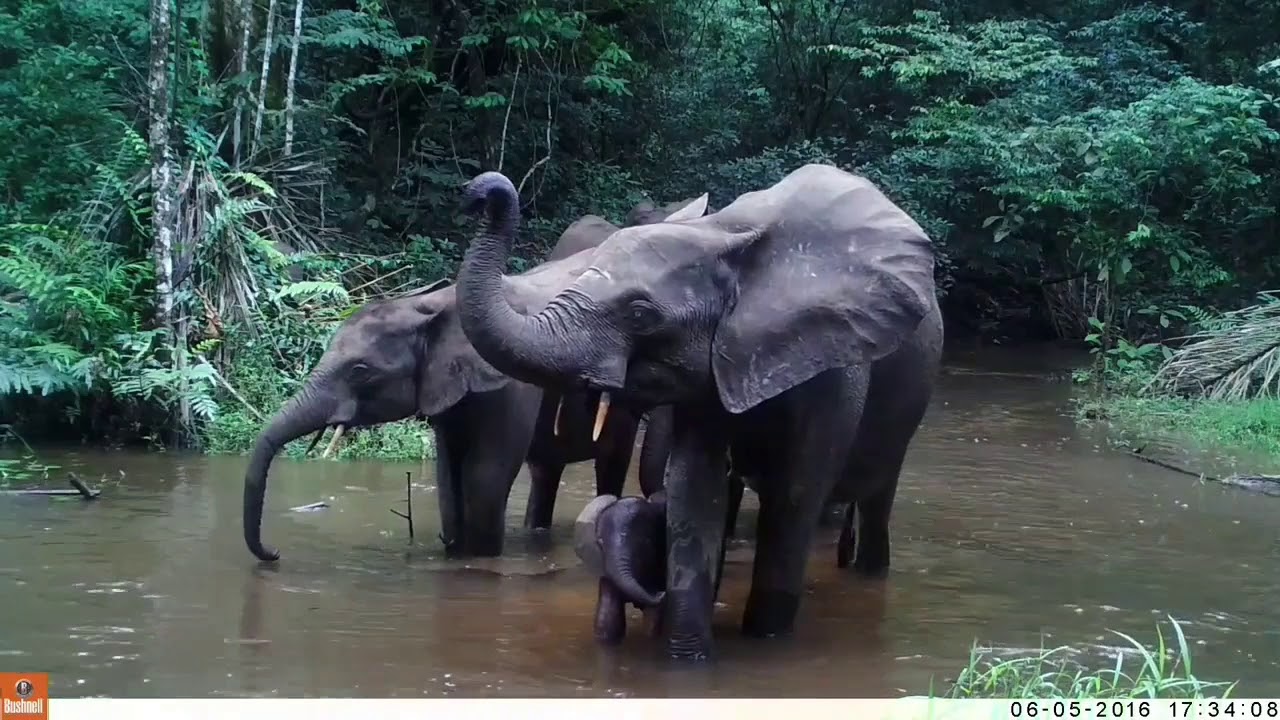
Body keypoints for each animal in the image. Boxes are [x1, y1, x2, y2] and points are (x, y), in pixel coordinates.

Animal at [240, 194, 710, 563]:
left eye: (360, 370)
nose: (275, 553)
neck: (431, 303)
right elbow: (449, 478)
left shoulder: (510, 385)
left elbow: (484, 476)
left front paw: (478, 560)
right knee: (548, 469)